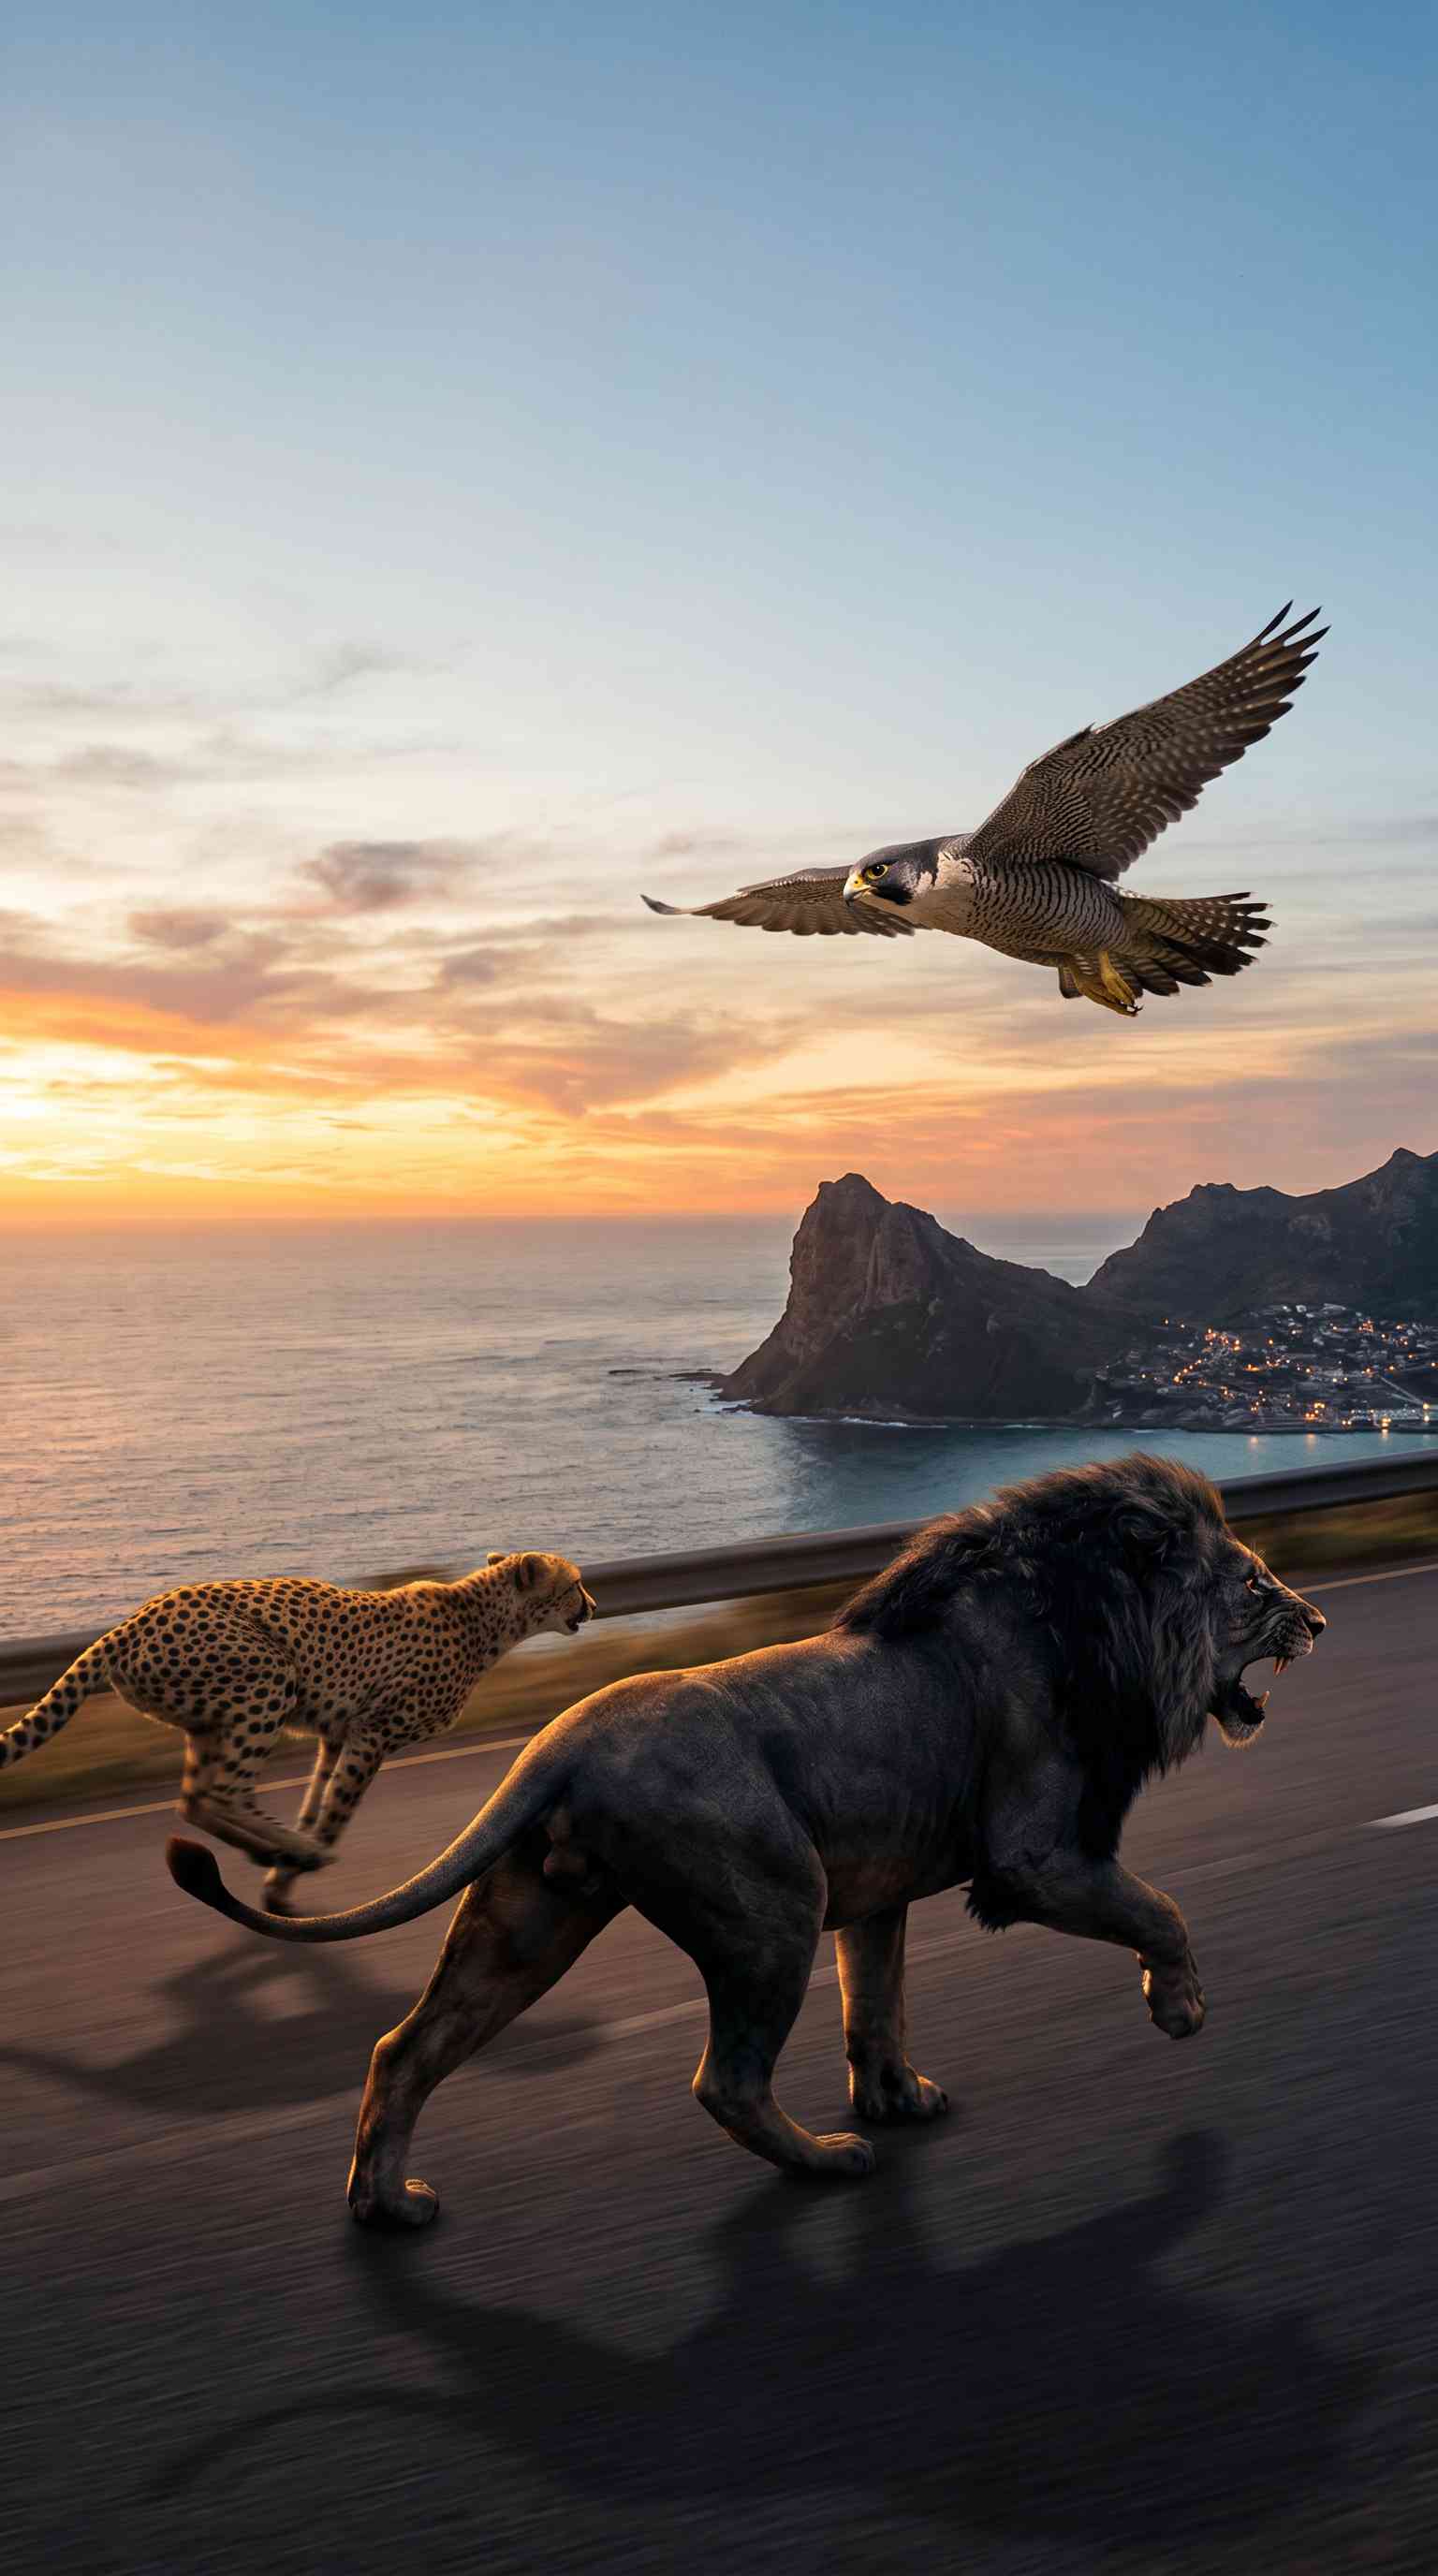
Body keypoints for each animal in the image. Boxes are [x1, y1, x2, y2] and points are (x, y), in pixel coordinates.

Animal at [167, 1455, 1325, 2226]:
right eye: (1253, 1584)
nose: (1316, 1621)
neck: (1093, 1624)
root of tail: (558, 1741)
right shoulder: (1032, 1858)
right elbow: (1160, 1909)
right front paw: (1179, 2010)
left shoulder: (878, 1890)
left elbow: (878, 2005)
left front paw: (900, 2100)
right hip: (772, 1908)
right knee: (723, 2079)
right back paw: (826, 2161)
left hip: (527, 1921)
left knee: (405, 2047)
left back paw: (386, 2206)